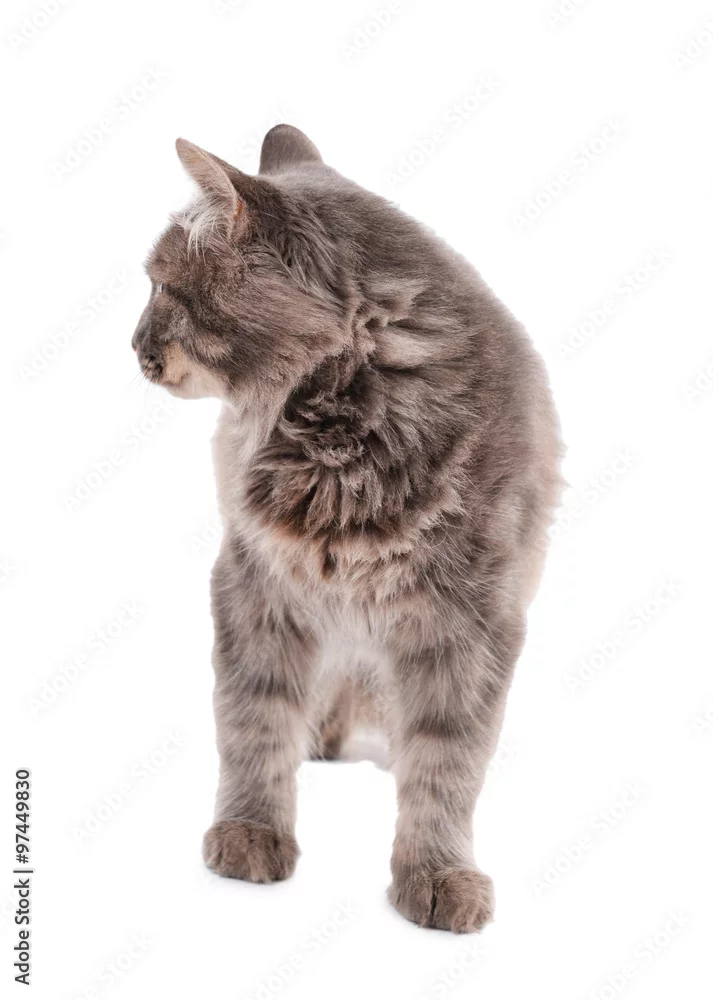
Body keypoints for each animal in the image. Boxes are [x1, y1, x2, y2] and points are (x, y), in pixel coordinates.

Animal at [131, 124, 562, 933]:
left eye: (164, 287)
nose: (134, 347)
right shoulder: (256, 584)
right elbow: (255, 720)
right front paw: (250, 832)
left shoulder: (471, 624)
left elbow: (447, 762)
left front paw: (437, 874)